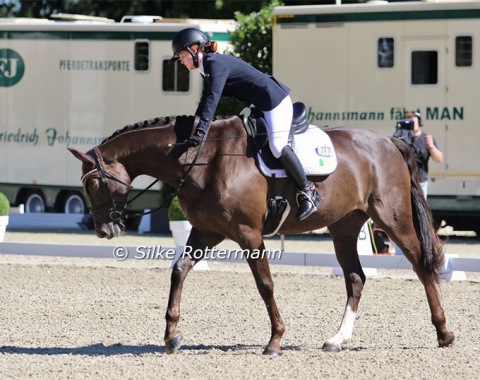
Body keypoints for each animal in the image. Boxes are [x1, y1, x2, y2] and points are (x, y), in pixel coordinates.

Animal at [67, 115, 454, 356]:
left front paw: (275, 341)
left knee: (421, 266)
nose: (104, 229)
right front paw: (172, 336)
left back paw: (444, 333)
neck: (201, 159)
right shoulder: (206, 232)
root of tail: (389, 142)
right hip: (344, 227)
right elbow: (179, 271)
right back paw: (338, 339)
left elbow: (264, 284)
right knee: (356, 278)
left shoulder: (248, 233)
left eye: (94, 183)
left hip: (392, 218)